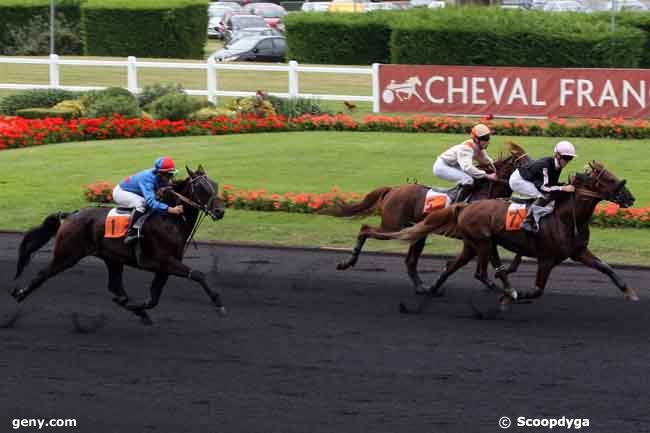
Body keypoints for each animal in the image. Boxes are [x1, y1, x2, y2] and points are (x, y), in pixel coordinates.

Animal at [10, 165, 228, 324]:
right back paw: (19, 294)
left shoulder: (165, 266)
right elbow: (198, 275)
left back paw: (132, 307)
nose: (220, 212)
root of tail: (72, 215)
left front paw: (137, 308)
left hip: (112, 258)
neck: (170, 219)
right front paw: (219, 303)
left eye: (215, 185)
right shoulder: (163, 261)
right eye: (201, 188)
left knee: (115, 286)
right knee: (43, 274)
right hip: (67, 254)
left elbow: (154, 297)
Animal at [318, 142, 528, 294]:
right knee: (365, 229)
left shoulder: (482, 239)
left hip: (416, 232)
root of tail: (392, 190)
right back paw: (348, 262)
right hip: (393, 227)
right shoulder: (476, 238)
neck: (484, 193)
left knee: (410, 262)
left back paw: (421, 286)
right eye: (523, 164)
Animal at [388, 161, 636, 308]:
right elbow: (536, 290)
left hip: (473, 245)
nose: (630, 198)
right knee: (478, 270)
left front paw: (629, 292)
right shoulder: (547, 258)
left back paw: (431, 290)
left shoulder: (578, 251)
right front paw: (514, 296)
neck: (566, 216)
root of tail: (465, 206)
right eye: (609, 179)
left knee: (451, 266)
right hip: (482, 242)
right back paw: (507, 291)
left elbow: (606, 267)